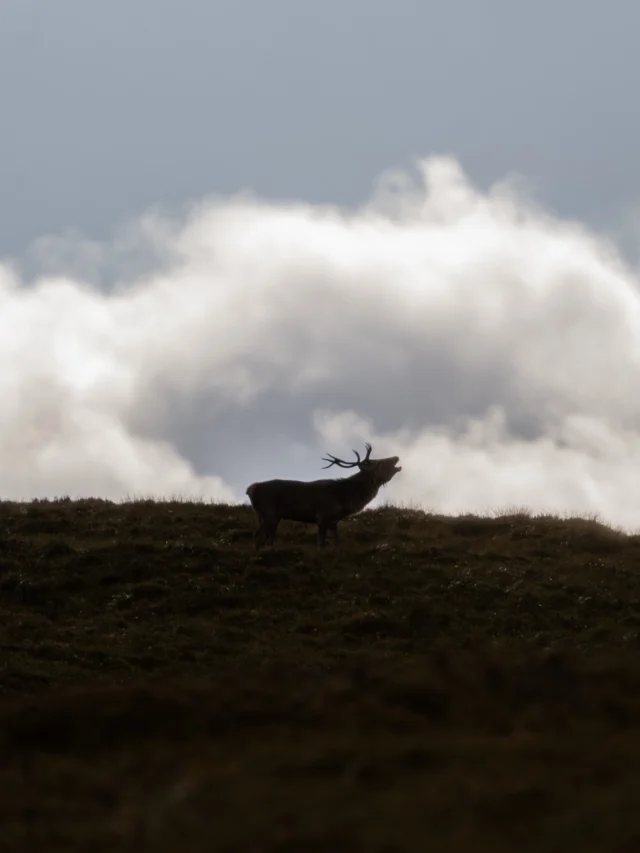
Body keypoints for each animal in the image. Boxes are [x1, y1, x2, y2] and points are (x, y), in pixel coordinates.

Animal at [245, 443, 401, 549]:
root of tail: (250, 489)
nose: (396, 457)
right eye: (379, 463)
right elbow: (321, 543)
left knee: (264, 536)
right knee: (259, 536)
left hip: (264, 515)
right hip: (269, 512)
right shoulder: (322, 516)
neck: (344, 498)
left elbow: (336, 542)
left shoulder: (333, 521)